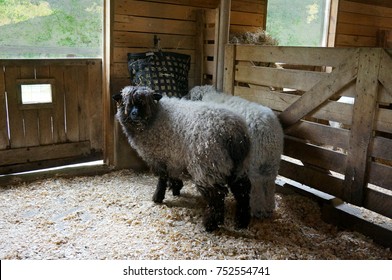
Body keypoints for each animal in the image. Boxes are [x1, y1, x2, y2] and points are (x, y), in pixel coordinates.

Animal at [113, 86, 253, 232]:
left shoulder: (159, 157)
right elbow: (172, 175)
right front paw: (176, 188)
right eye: (128, 104)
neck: (155, 117)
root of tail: (233, 132)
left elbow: (162, 179)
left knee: (217, 194)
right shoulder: (173, 157)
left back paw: (211, 224)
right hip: (238, 165)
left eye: (143, 103)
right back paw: (241, 222)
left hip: (207, 165)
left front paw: (158, 197)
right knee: (242, 190)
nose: (135, 114)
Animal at [185, 85, 284, 219]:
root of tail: (267, 130)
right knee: (269, 183)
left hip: (253, 162)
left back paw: (256, 210)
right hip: (272, 162)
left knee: (256, 184)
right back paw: (269, 208)